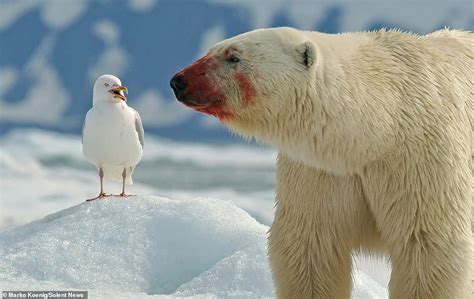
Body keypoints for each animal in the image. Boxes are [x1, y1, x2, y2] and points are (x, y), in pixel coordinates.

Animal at [170, 27, 474, 298]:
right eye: (210, 50)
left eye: (233, 57)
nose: (178, 80)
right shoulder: (320, 170)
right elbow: (311, 246)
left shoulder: (419, 158)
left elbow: (427, 245)